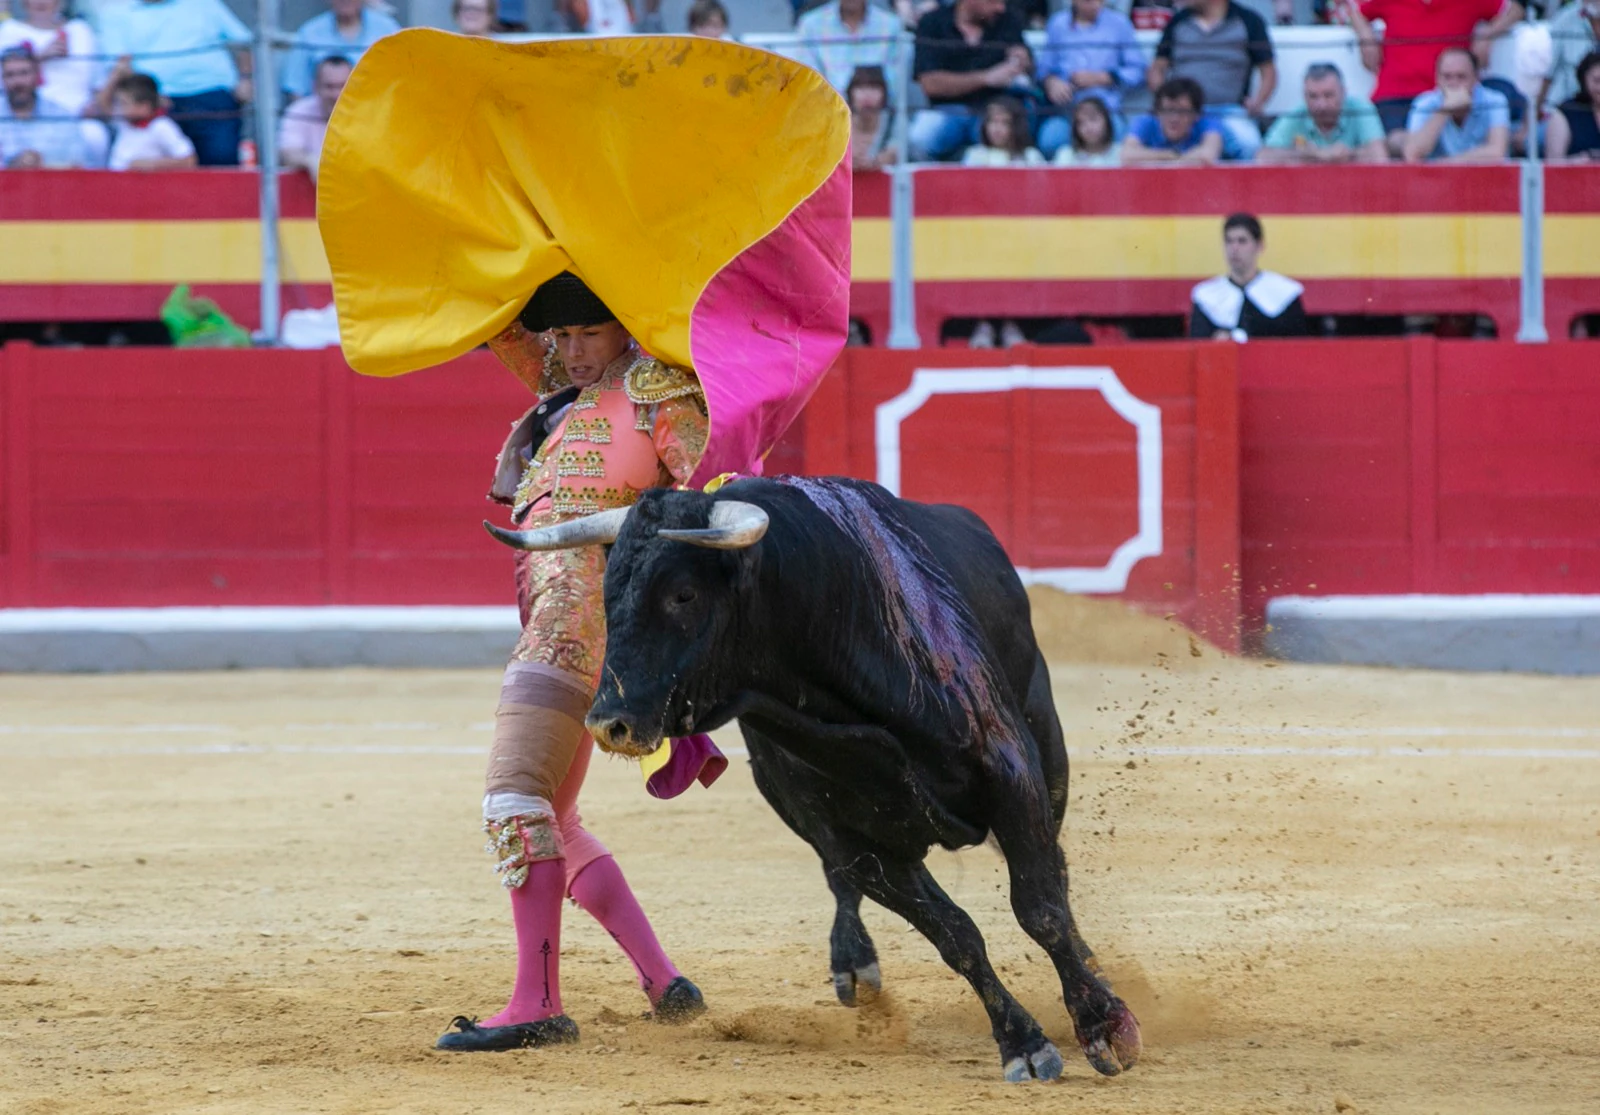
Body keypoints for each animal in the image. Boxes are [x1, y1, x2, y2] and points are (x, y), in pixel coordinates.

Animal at [483, 476, 1139, 1081]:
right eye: (606, 593)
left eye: (684, 594)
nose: (608, 723)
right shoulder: (854, 845)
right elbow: (955, 935)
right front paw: (1023, 1043)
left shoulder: (1013, 775)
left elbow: (1041, 908)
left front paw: (1103, 1024)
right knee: (843, 886)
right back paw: (854, 964)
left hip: (1048, 755)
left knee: (1056, 875)